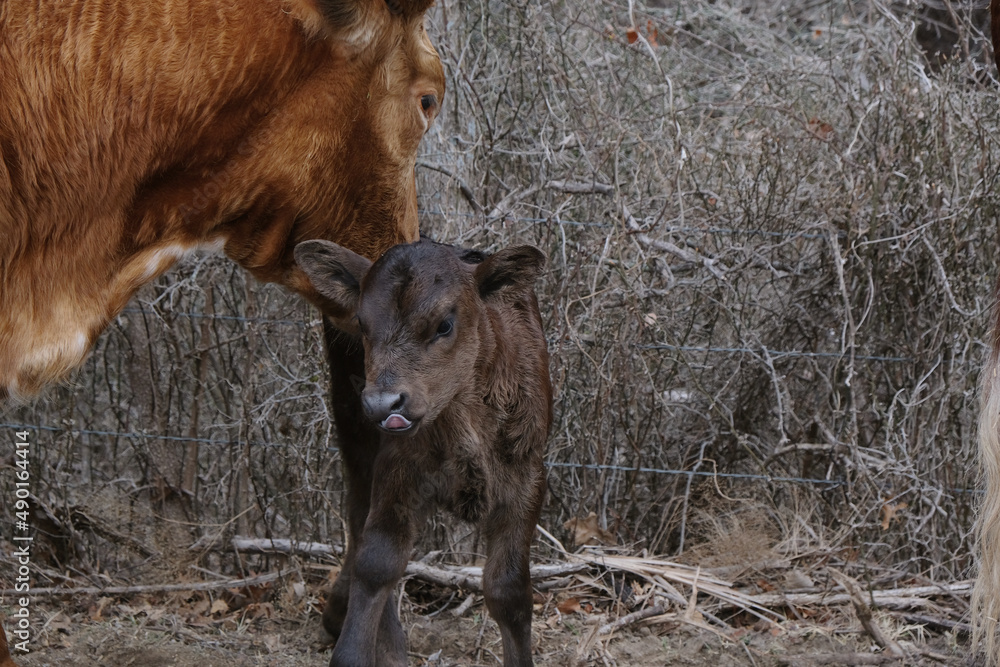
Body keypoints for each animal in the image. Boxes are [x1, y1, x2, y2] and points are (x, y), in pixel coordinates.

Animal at [295, 239, 551, 667]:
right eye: (362, 325)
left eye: (444, 324)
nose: (384, 403)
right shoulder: (395, 469)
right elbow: (378, 561)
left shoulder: (526, 477)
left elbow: (508, 590)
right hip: (354, 437)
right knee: (357, 519)